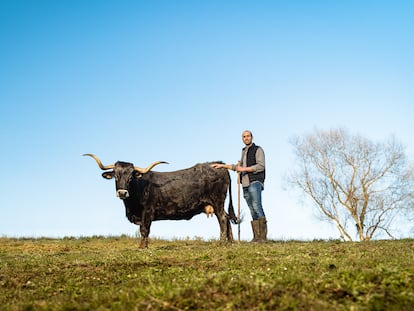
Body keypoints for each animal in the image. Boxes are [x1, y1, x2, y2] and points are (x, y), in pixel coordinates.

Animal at [83, 154, 236, 249]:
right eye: (116, 176)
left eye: (131, 177)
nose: (122, 193)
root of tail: (219, 165)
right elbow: (142, 230)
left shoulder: (147, 212)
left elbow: (144, 230)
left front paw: (142, 247)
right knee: (227, 217)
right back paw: (231, 242)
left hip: (217, 202)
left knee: (223, 219)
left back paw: (222, 242)